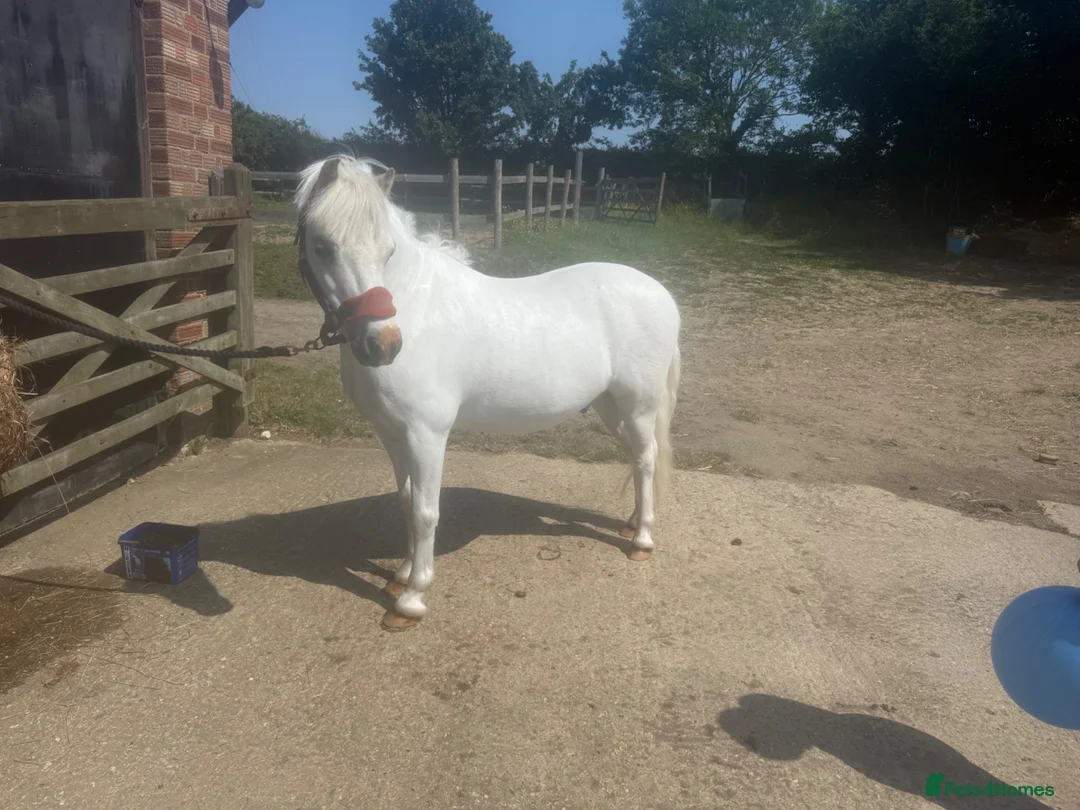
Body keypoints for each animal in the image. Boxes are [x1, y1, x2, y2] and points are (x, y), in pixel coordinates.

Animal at [293, 155, 682, 630]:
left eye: (388, 251)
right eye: (323, 246)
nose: (382, 345)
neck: (417, 311)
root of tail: (661, 294)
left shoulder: (426, 435)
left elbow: (425, 512)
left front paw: (412, 599)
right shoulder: (392, 434)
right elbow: (407, 502)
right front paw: (400, 576)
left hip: (639, 404)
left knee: (645, 460)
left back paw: (641, 540)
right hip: (610, 406)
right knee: (634, 456)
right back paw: (629, 523)